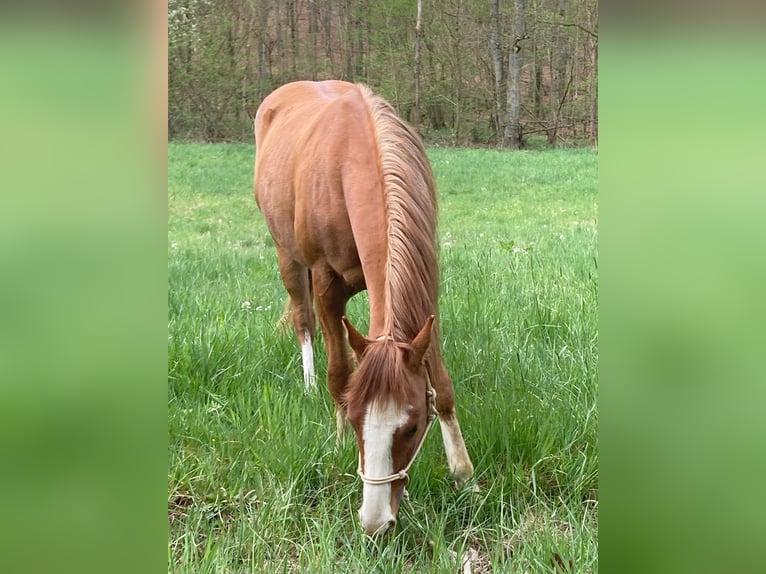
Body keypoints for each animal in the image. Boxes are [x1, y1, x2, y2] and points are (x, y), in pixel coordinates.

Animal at [253, 80, 474, 535]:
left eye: (412, 426)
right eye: (356, 421)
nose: (375, 522)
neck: (353, 157)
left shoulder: (425, 286)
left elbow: (441, 384)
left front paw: (464, 473)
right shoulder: (325, 284)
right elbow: (340, 373)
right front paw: (337, 441)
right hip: (288, 258)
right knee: (304, 322)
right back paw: (308, 380)